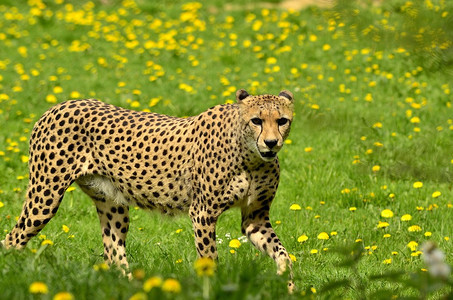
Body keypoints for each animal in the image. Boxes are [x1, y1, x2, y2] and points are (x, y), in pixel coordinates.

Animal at [0, 89, 296, 290]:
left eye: (282, 120)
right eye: (257, 120)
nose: (271, 143)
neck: (251, 158)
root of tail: (60, 104)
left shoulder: (255, 218)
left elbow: (283, 254)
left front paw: (287, 286)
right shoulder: (202, 214)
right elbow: (210, 259)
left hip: (113, 205)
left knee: (113, 252)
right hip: (45, 196)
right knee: (13, 239)